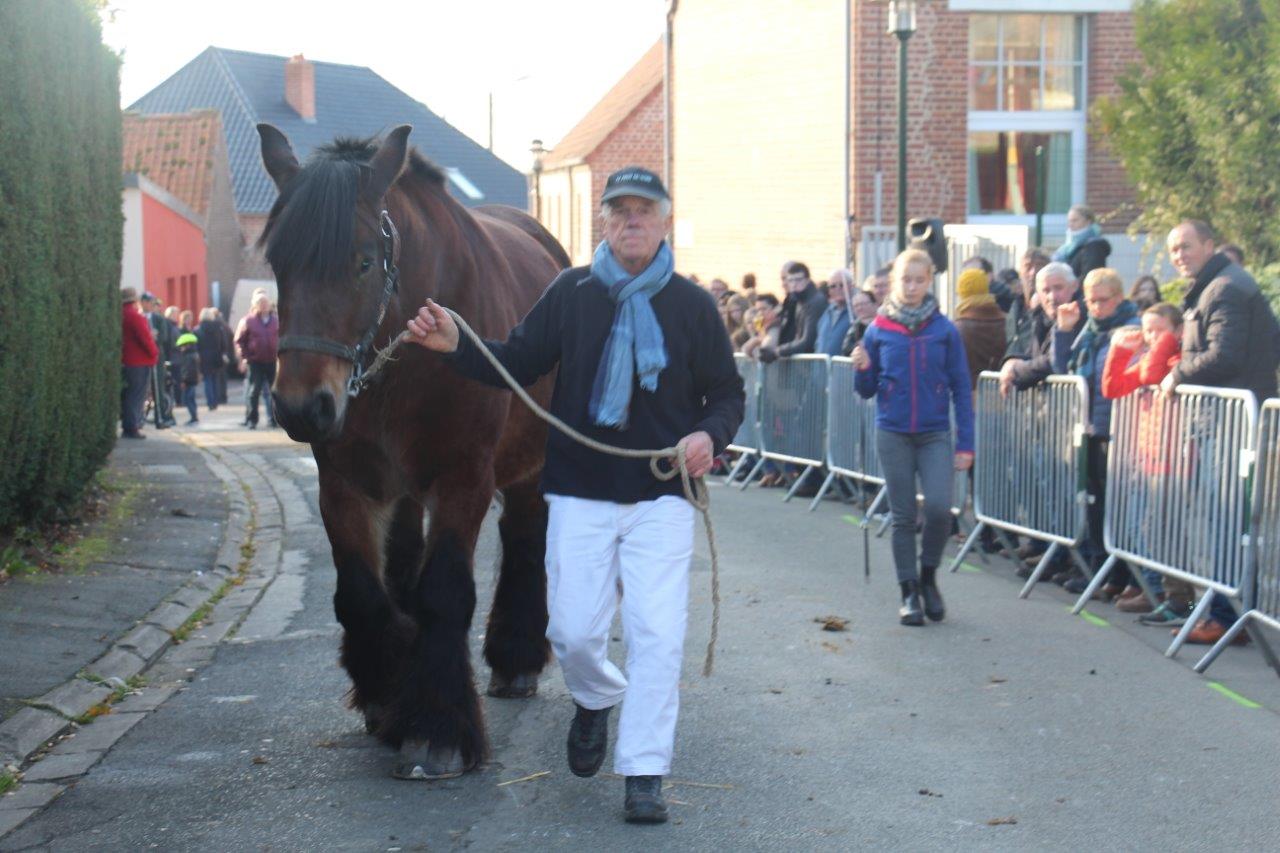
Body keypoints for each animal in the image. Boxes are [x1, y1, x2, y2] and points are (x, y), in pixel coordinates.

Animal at [254, 121, 565, 778]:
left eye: (363, 262)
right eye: (277, 262)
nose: (300, 407)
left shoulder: (464, 477)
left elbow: (443, 592)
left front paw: (435, 728)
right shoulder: (344, 483)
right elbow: (361, 593)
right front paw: (388, 687)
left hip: (529, 467)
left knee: (526, 538)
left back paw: (516, 656)